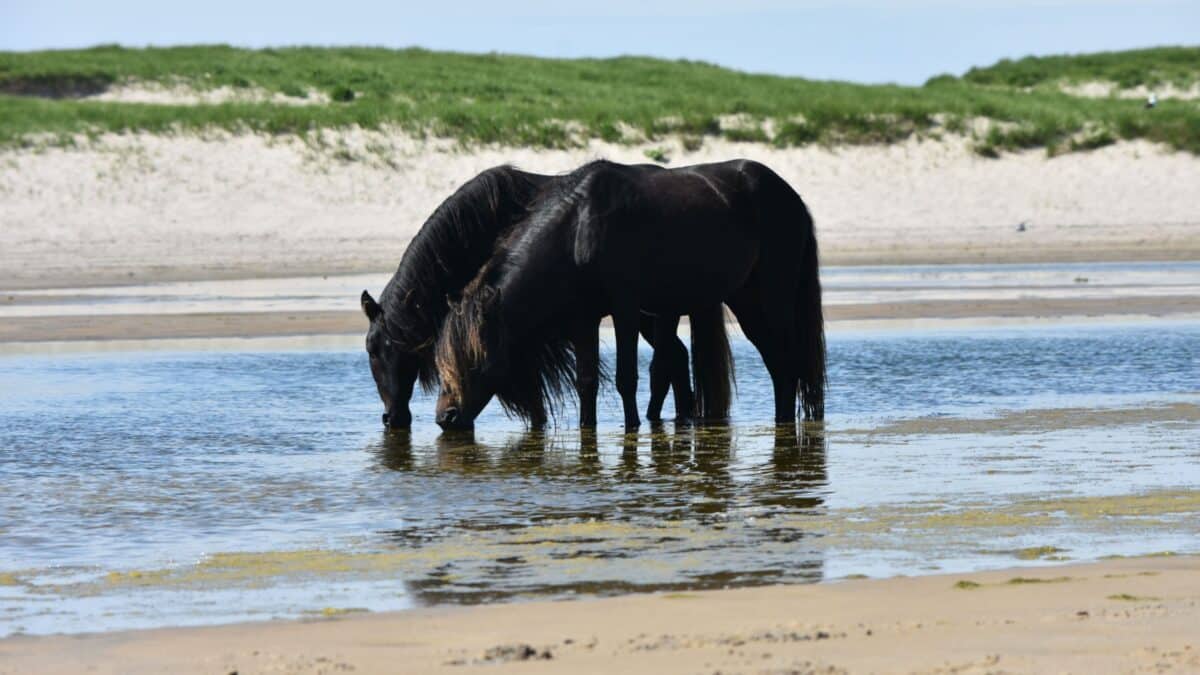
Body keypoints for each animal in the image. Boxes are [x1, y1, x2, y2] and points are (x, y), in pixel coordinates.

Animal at [439, 158, 825, 425]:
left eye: (473, 357)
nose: (446, 417)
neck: (579, 229)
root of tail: (792, 198)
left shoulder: (624, 309)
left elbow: (626, 377)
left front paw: (633, 428)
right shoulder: (583, 320)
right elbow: (587, 381)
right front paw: (588, 429)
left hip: (770, 300)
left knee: (786, 362)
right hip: (744, 300)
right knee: (778, 362)